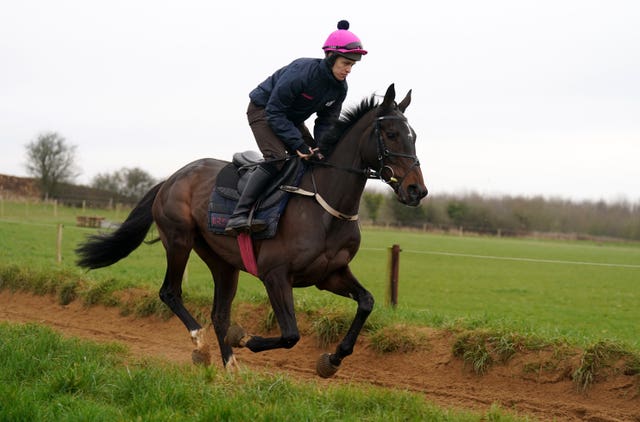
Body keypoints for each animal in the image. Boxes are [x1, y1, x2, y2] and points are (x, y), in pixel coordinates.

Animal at [76, 84, 430, 378]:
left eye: (413, 135)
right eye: (391, 133)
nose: (417, 190)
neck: (325, 207)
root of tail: (170, 178)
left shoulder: (330, 274)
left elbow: (367, 302)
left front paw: (332, 359)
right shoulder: (275, 275)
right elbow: (290, 334)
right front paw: (244, 337)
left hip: (222, 261)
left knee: (219, 313)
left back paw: (230, 364)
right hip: (178, 240)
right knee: (170, 292)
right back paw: (201, 346)